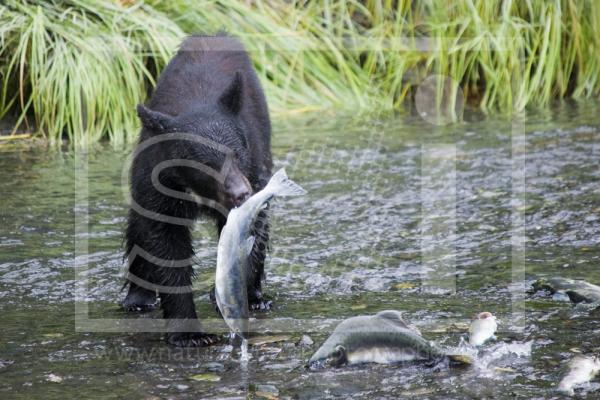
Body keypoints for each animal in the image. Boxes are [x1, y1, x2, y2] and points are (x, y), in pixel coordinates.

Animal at [123, 34, 274, 346]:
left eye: (236, 153)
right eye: (204, 163)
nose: (241, 193)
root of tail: (215, 34)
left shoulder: (254, 167)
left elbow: (252, 230)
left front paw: (231, 297)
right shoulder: (158, 181)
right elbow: (165, 242)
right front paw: (189, 334)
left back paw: (256, 297)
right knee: (137, 227)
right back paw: (138, 297)